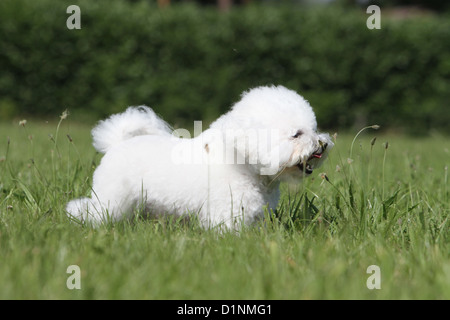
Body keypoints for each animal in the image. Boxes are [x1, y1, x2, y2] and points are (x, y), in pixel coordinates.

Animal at [67, 85, 334, 230]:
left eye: (314, 128)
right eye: (296, 134)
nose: (322, 144)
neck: (242, 164)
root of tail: (118, 143)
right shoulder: (227, 211)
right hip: (112, 199)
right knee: (89, 209)